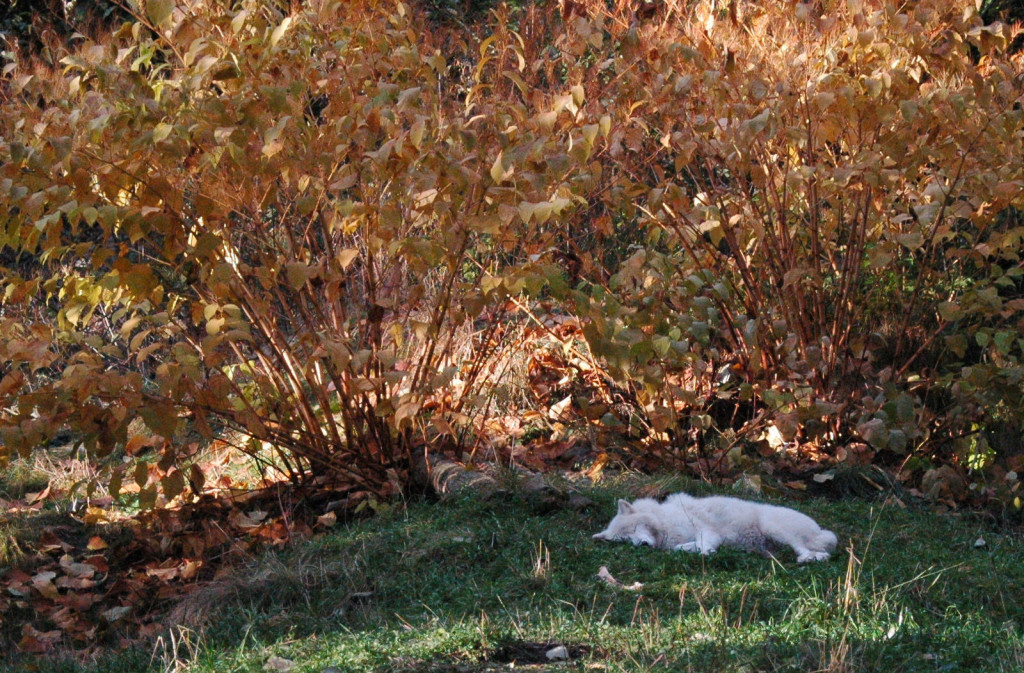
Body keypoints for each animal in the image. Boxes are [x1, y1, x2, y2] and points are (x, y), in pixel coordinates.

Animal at [593, 493, 839, 561]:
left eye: (633, 530)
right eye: (625, 541)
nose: (642, 545)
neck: (663, 521)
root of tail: (818, 530)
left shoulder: (705, 530)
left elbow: (703, 543)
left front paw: (705, 552)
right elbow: (682, 548)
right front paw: (697, 551)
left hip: (774, 528)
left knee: (805, 549)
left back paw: (810, 558)